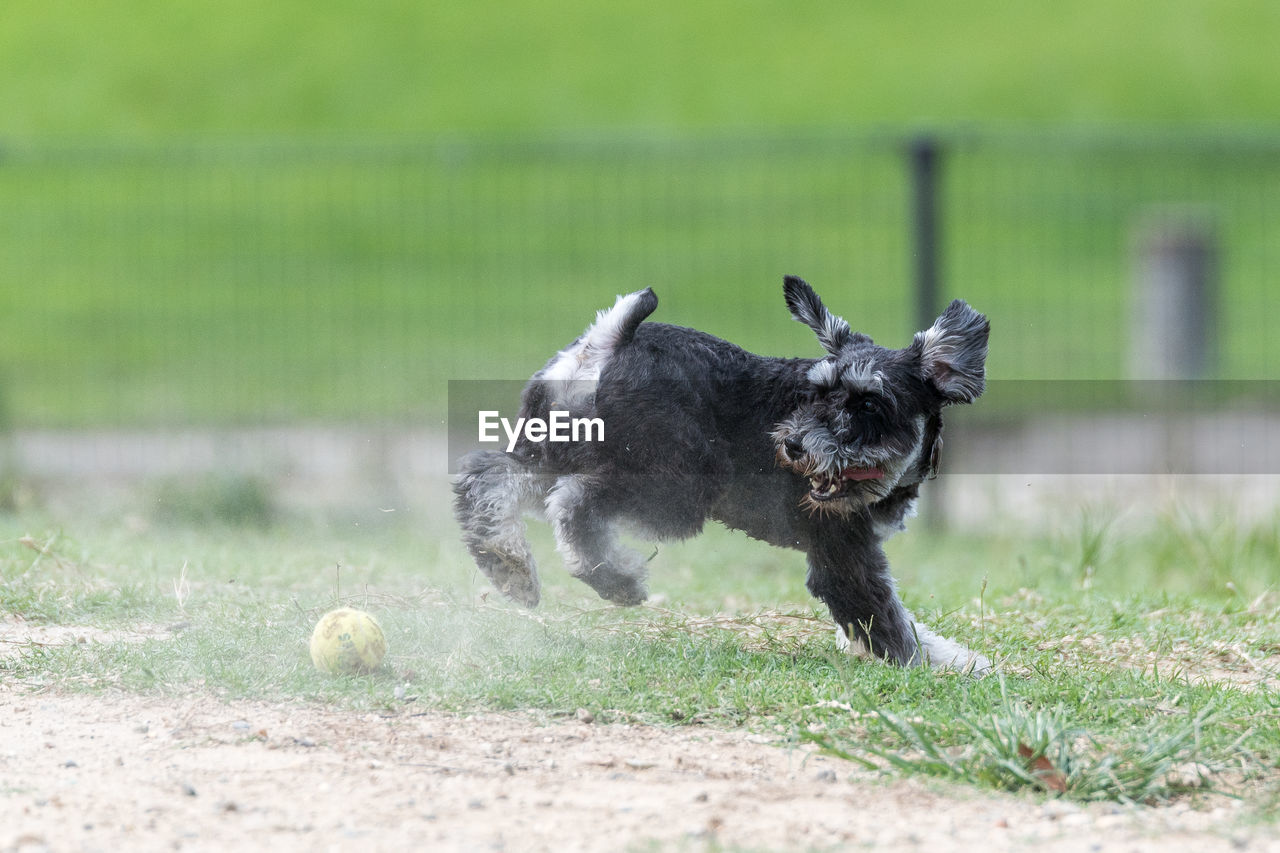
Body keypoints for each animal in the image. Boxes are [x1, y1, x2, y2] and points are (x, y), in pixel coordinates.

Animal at [455, 277, 993, 671]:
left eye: (868, 404)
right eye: (818, 393)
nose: (792, 446)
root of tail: (604, 344)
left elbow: (880, 624)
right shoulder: (842, 556)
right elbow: (891, 624)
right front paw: (951, 667)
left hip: (552, 453)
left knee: (487, 479)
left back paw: (510, 569)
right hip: (672, 486)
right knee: (572, 503)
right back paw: (619, 579)